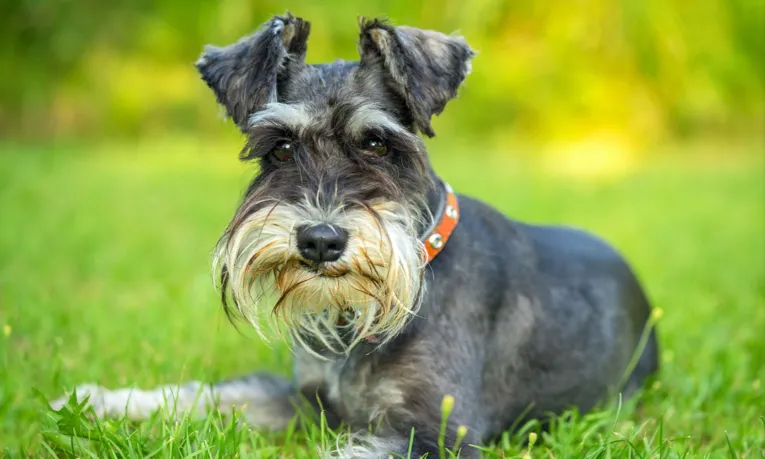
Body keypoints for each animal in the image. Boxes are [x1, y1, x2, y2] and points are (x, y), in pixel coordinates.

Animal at [49, 12, 656, 458]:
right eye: (280, 148)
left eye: (377, 144)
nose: (320, 240)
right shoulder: (308, 402)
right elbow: (213, 396)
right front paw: (99, 402)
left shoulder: (435, 434)